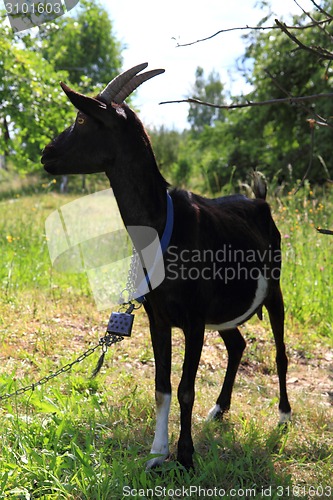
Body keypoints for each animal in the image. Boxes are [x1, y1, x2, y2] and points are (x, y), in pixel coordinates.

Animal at [42, 62, 290, 468]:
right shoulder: (157, 317)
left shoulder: (193, 319)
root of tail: (261, 201)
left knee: (280, 352)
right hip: (223, 310)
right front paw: (158, 453)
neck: (161, 226)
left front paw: (185, 456)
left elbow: (186, 387)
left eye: (81, 118)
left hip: (274, 290)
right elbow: (162, 386)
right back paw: (219, 409)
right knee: (237, 345)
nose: (46, 153)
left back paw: (284, 415)